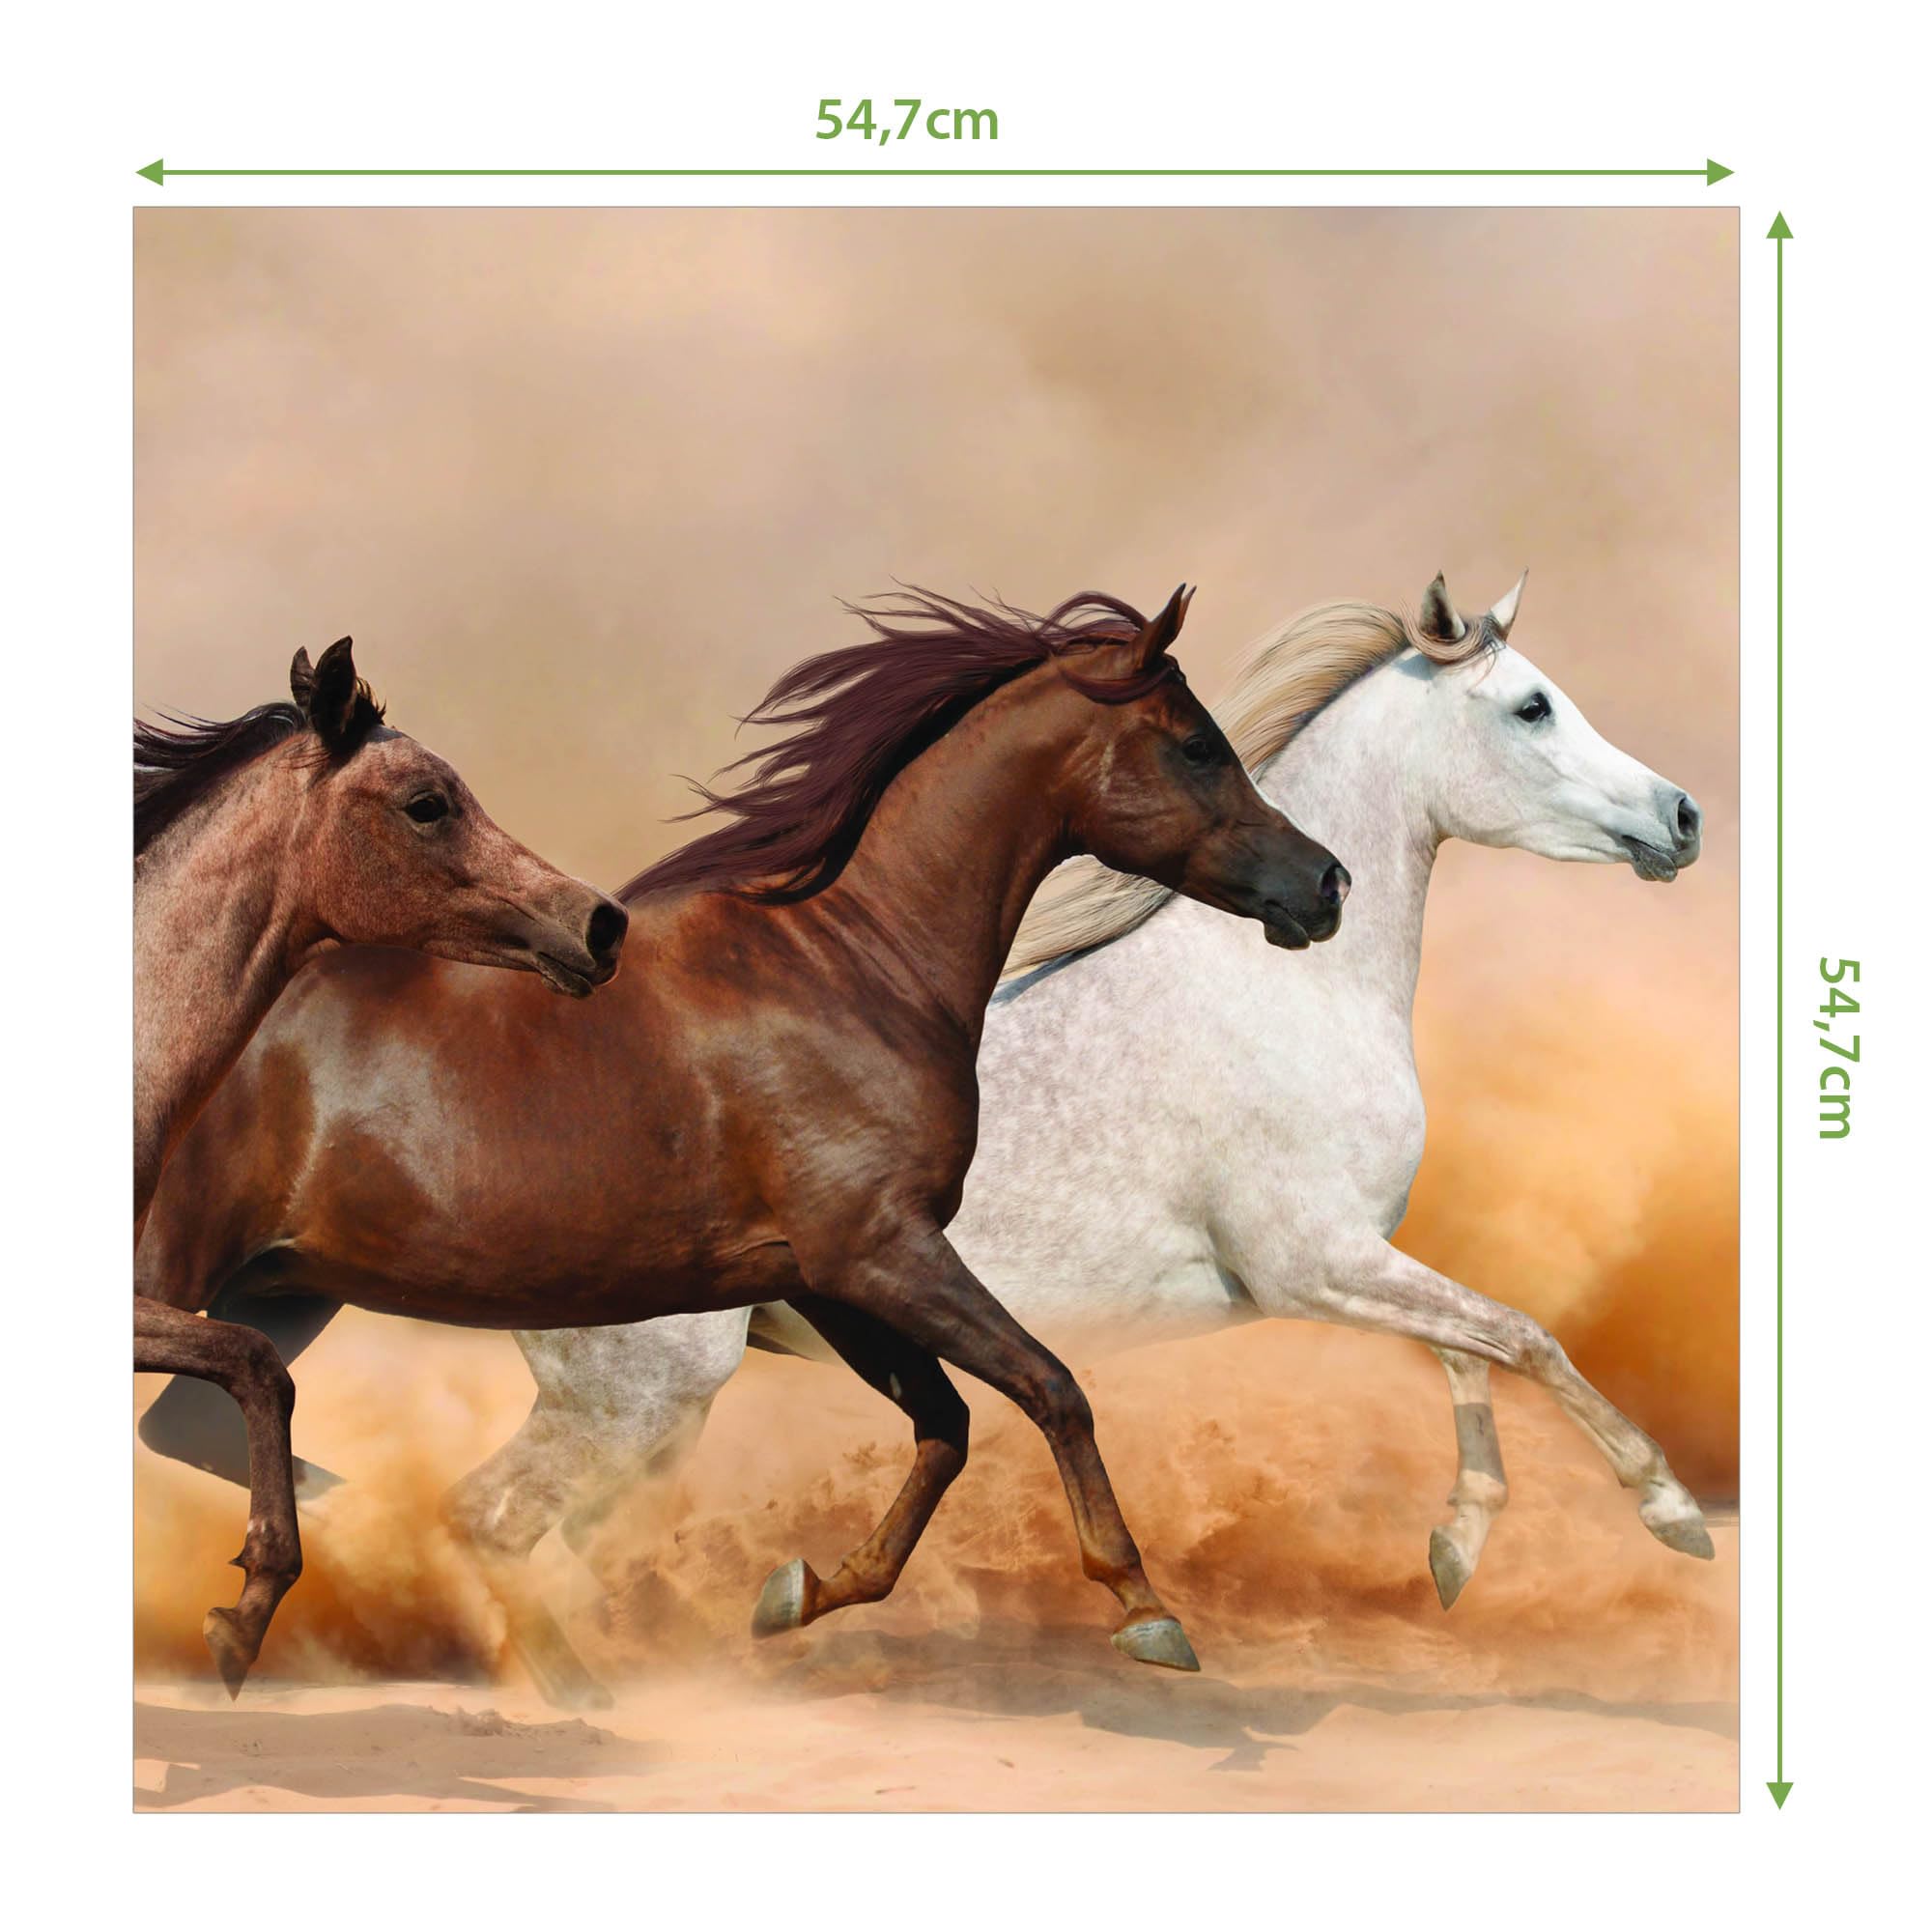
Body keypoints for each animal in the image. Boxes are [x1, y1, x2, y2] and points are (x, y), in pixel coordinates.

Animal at [341, 569, 1715, 1708]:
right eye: (1531, 707)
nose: (1683, 817)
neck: (1290, 990)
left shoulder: (1350, 1260)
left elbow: (1467, 1352)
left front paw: (1452, 1549)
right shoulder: (1310, 1261)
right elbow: (1520, 1336)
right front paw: (1669, 1512)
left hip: (650, 1407)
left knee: (535, 1534)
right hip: (642, 1392)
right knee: (500, 1518)